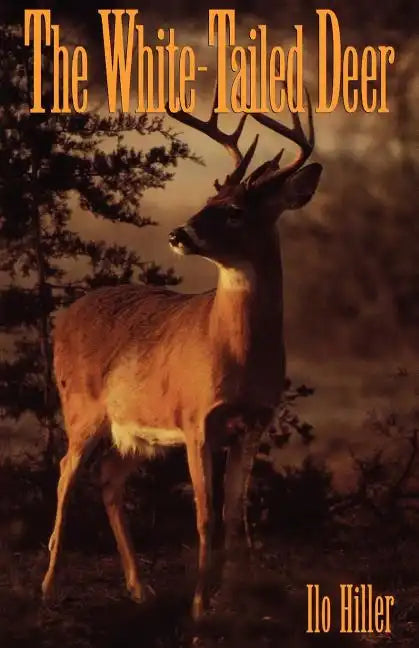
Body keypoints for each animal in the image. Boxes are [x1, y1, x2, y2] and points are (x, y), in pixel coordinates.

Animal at [41, 82, 322, 619]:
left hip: (133, 430)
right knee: (65, 473)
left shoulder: (253, 421)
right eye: (211, 196)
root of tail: (64, 315)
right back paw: (48, 586)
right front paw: (198, 608)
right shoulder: (196, 421)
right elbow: (205, 518)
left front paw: (240, 603)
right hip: (80, 407)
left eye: (234, 210)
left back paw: (139, 588)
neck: (236, 353)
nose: (177, 233)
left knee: (108, 479)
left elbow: (236, 519)